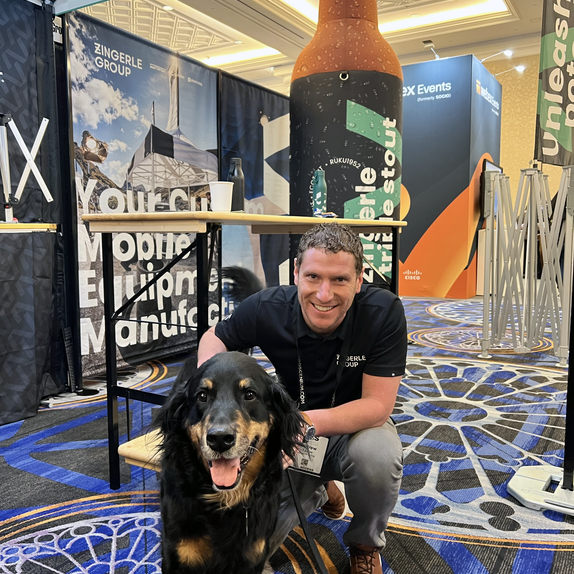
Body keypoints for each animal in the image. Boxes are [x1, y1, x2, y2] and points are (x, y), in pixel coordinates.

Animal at [155, 352, 304, 574]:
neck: (224, 500)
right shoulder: (176, 556)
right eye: (202, 396)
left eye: (249, 394)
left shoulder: (253, 556)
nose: (219, 439)